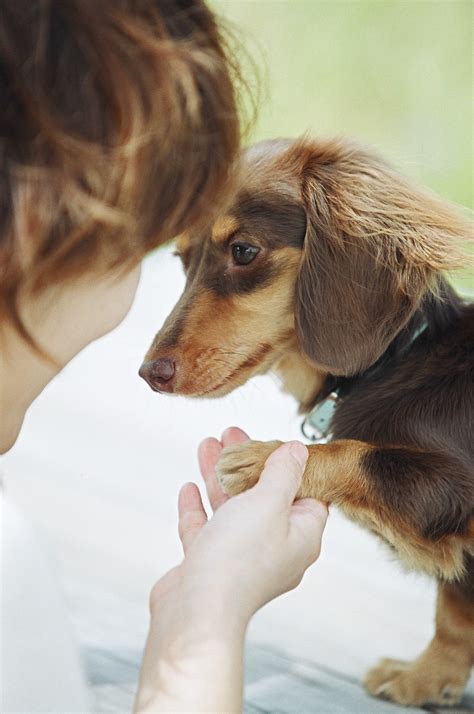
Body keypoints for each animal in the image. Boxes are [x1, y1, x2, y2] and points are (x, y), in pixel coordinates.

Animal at [140, 136, 474, 704]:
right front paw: (426, 678)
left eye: (244, 251)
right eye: (181, 258)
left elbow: (358, 452)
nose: (149, 374)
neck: (398, 359)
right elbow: (455, 613)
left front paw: (261, 458)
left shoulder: (457, 485)